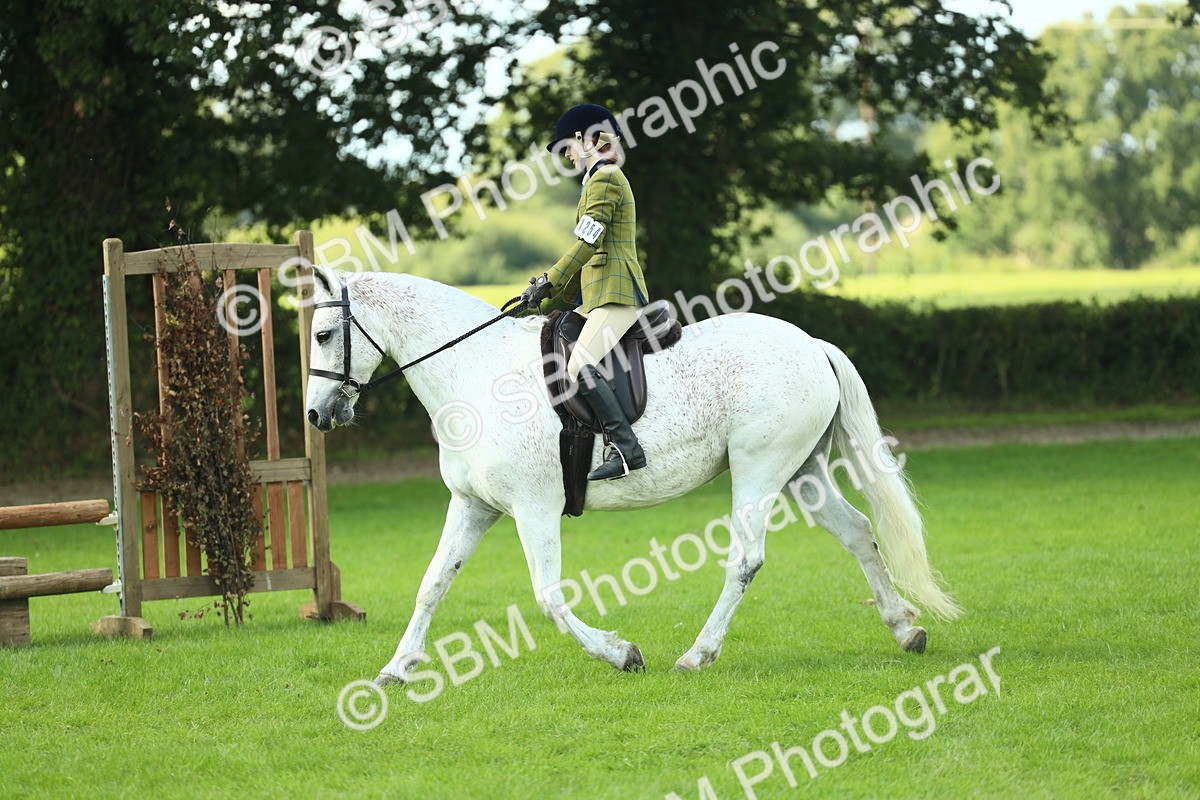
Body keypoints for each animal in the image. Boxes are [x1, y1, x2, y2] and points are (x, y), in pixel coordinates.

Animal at [303, 269, 961, 684]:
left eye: (324, 334)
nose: (317, 416)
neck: (475, 372)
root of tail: (811, 344)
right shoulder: (472, 505)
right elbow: (433, 584)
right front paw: (396, 668)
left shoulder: (534, 508)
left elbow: (549, 596)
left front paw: (621, 654)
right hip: (803, 472)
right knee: (857, 533)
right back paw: (905, 630)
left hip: (760, 468)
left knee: (746, 559)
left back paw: (697, 655)